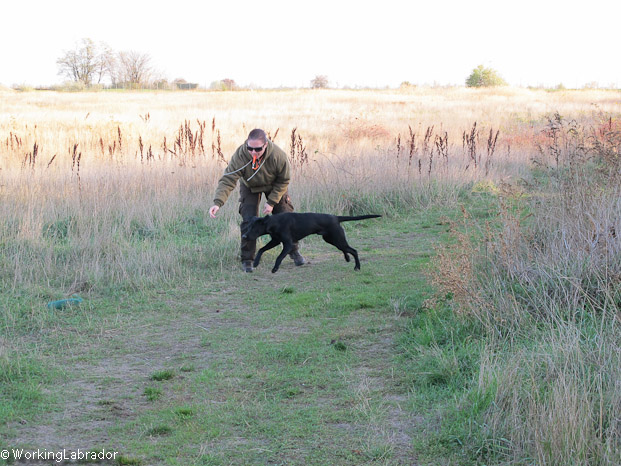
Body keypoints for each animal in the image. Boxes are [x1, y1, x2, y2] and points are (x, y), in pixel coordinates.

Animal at [241, 212, 381, 273]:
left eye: (253, 227)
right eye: (248, 227)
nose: (244, 236)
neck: (274, 222)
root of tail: (336, 217)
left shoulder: (288, 244)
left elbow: (279, 257)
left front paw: (275, 269)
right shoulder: (275, 240)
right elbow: (261, 249)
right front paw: (256, 262)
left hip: (337, 239)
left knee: (353, 250)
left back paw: (357, 267)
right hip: (331, 239)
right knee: (346, 250)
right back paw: (347, 259)